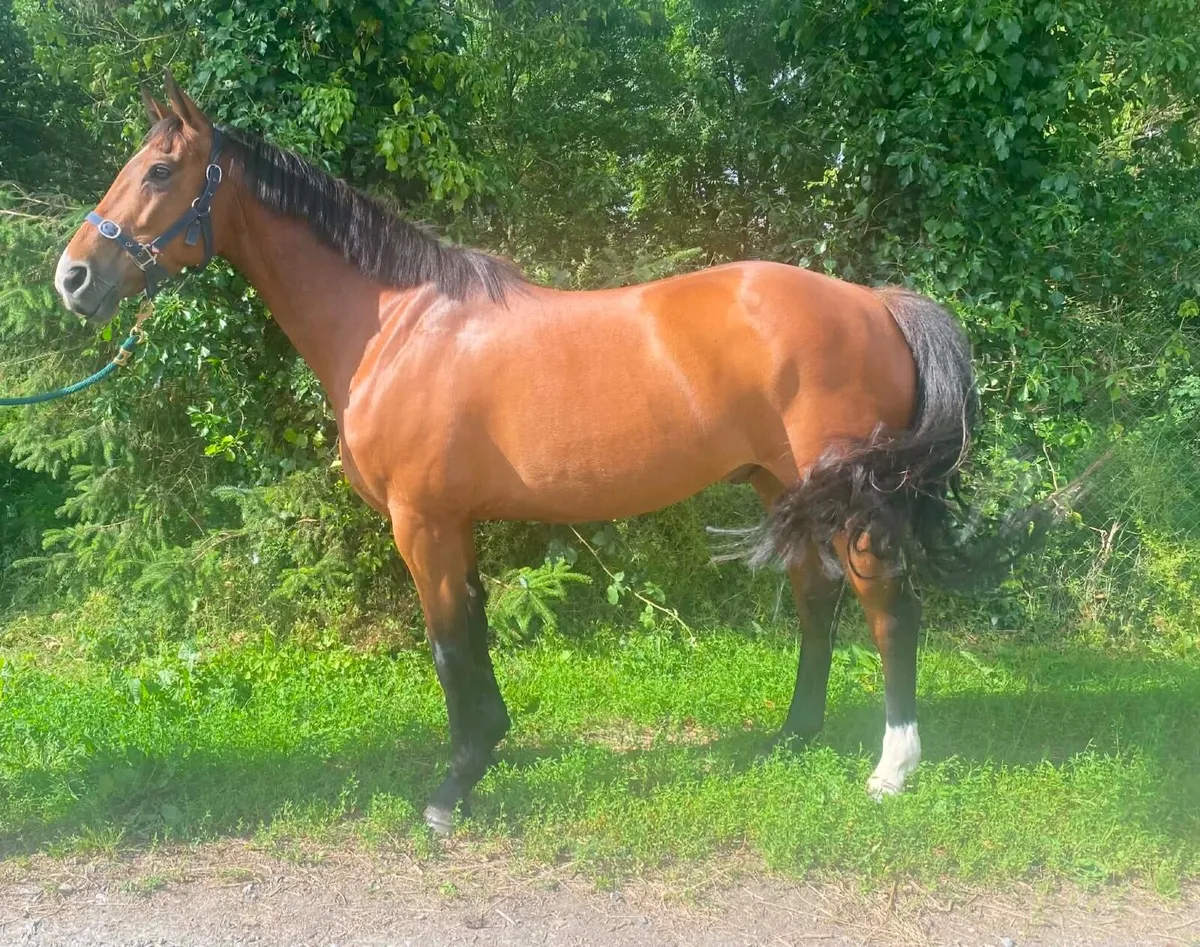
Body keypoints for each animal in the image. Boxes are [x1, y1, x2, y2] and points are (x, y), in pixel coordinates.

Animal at [55, 71, 983, 836]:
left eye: (159, 172)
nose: (71, 279)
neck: (396, 325)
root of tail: (874, 301)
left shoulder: (422, 521)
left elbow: (447, 644)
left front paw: (450, 789)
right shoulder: (453, 521)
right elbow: (472, 632)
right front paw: (484, 754)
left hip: (852, 497)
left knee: (888, 607)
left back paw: (892, 769)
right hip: (780, 484)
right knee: (816, 600)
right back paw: (793, 736)